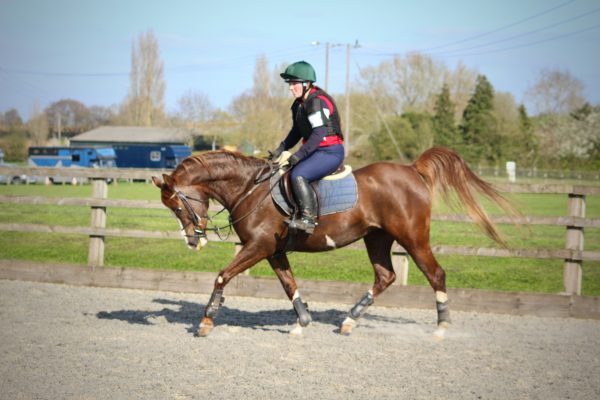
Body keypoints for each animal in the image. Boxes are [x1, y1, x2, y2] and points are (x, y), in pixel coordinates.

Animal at [152, 147, 516, 338]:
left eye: (177, 205)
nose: (192, 241)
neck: (250, 188)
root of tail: (412, 170)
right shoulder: (273, 251)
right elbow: (289, 284)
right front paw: (302, 322)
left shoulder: (259, 248)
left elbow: (222, 276)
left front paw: (206, 320)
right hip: (377, 238)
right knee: (385, 276)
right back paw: (349, 320)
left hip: (412, 238)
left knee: (435, 274)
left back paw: (441, 326)